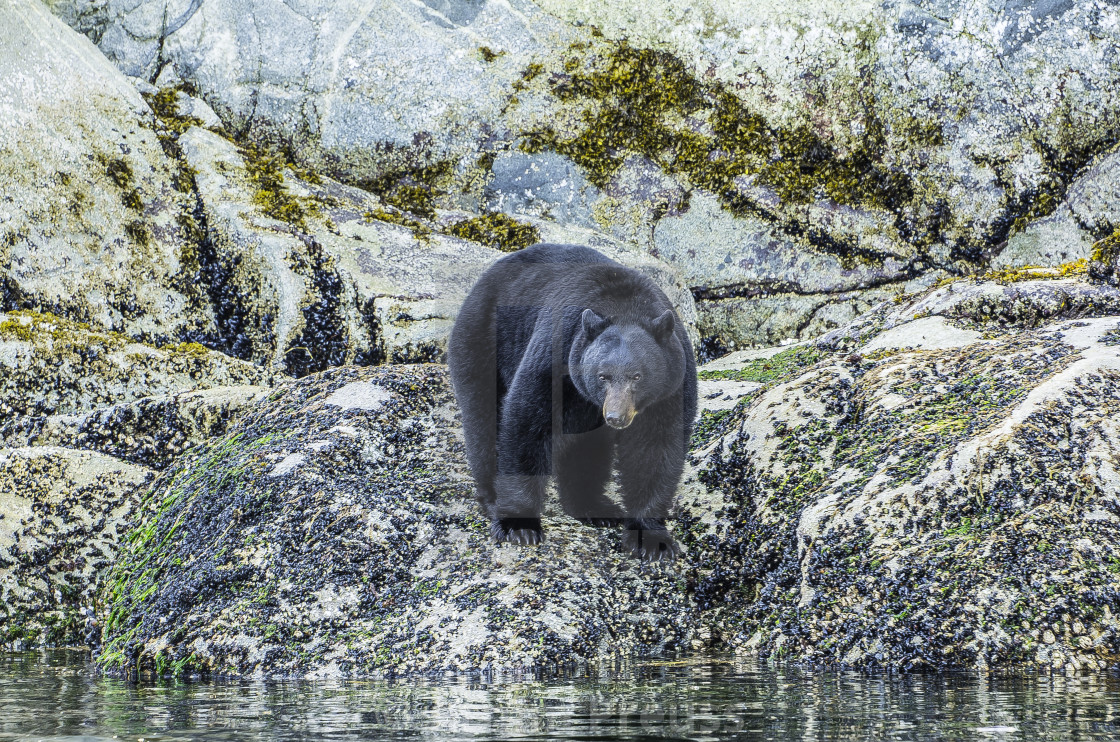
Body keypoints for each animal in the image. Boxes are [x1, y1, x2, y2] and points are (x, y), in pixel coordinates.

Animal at [443, 244, 689, 564]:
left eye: (637, 376)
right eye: (602, 375)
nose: (615, 416)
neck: (625, 306)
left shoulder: (671, 385)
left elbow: (655, 448)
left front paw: (650, 539)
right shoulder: (557, 351)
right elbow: (527, 423)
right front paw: (519, 525)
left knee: (586, 449)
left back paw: (595, 507)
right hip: (483, 341)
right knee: (483, 422)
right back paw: (491, 497)